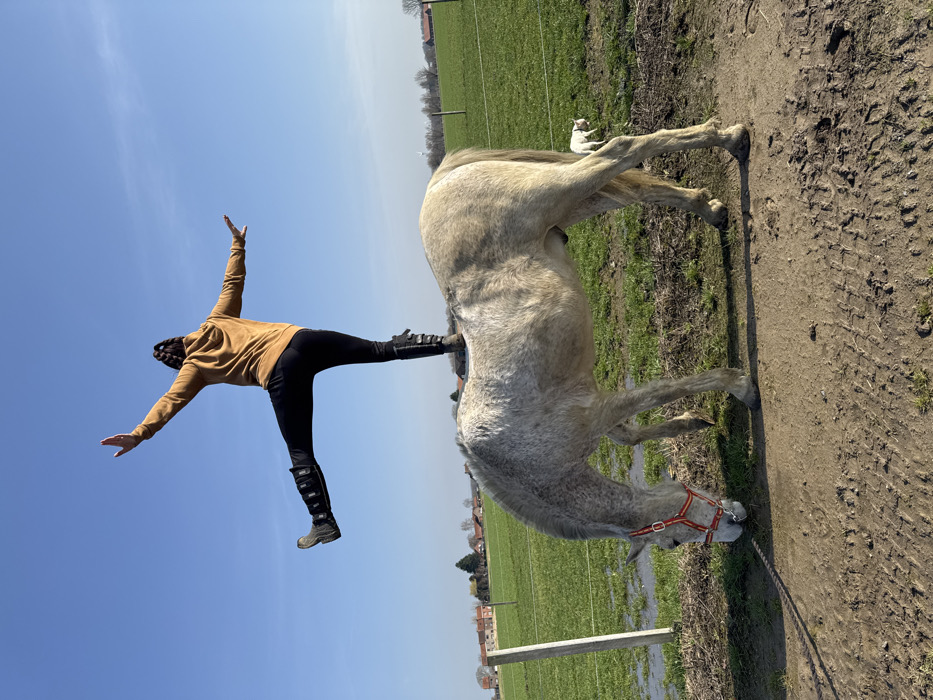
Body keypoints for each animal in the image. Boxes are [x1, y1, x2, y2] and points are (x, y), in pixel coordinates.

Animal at [420, 119, 760, 563]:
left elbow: (664, 392)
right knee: (636, 188)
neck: (524, 461)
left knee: (622, 150)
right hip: (572, 205)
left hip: (559, 190)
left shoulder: (598, 410)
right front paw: (692, 421)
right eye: (671, 541)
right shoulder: (599, 409)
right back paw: (711, 207)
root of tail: (439, 183)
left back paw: (732, 140)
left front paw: (740, 387)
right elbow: (633, 432)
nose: (737, 523)